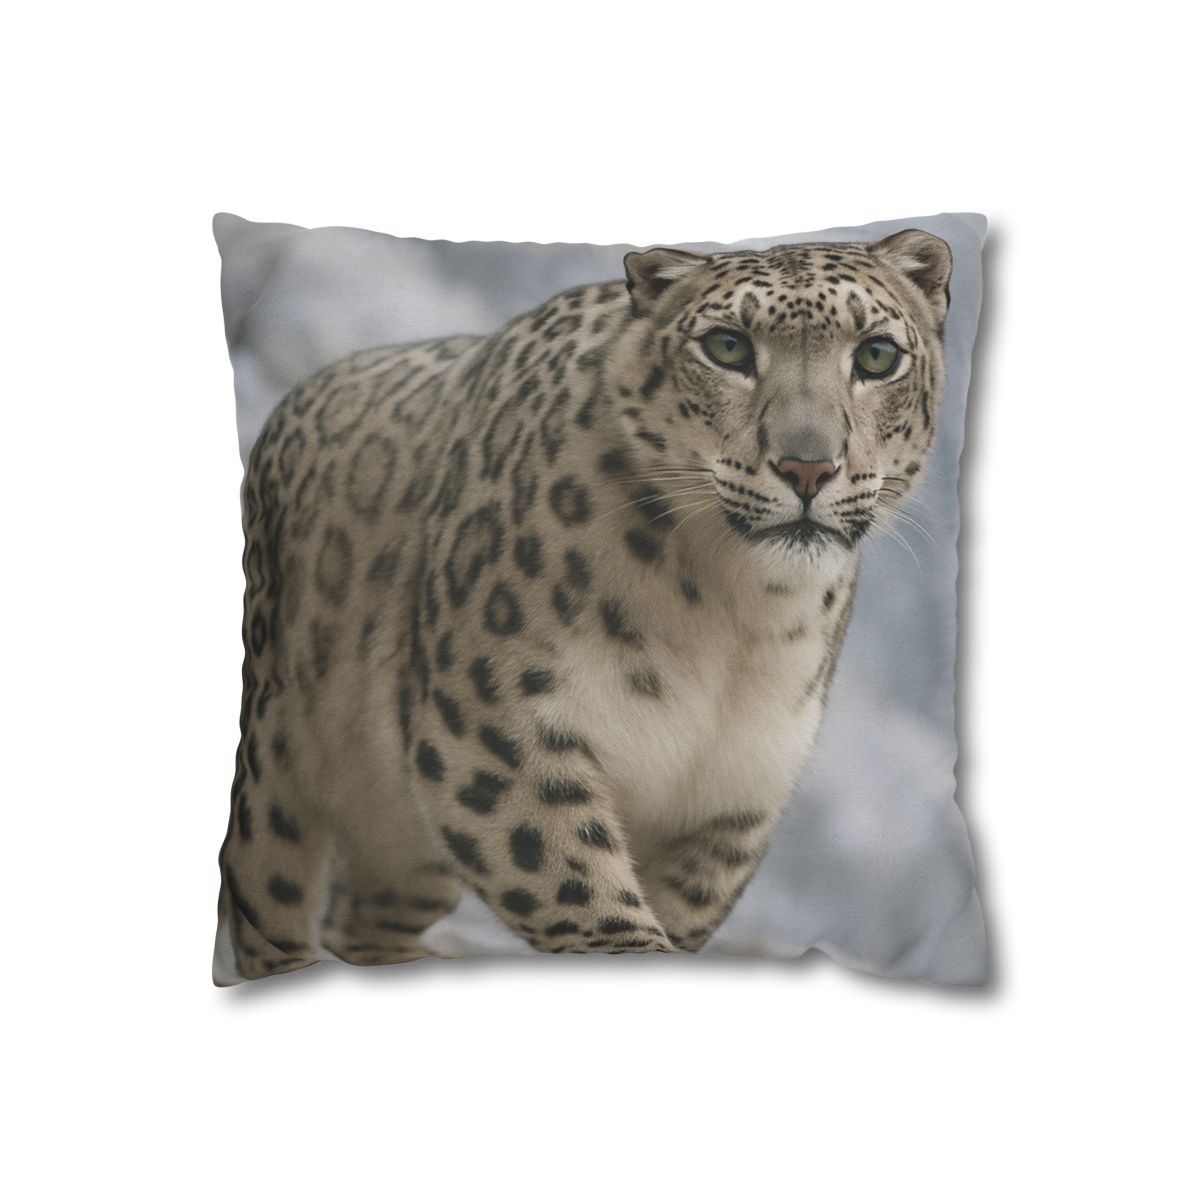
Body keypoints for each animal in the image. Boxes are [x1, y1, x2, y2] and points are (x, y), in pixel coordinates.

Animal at [214, 228, 953, 981]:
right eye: (727, 347)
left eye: (877, 355)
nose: (808, 467)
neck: (735, 615)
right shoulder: (494, 722)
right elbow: (578, 884)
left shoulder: (734, 792)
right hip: (275, 764)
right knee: (268, 902)